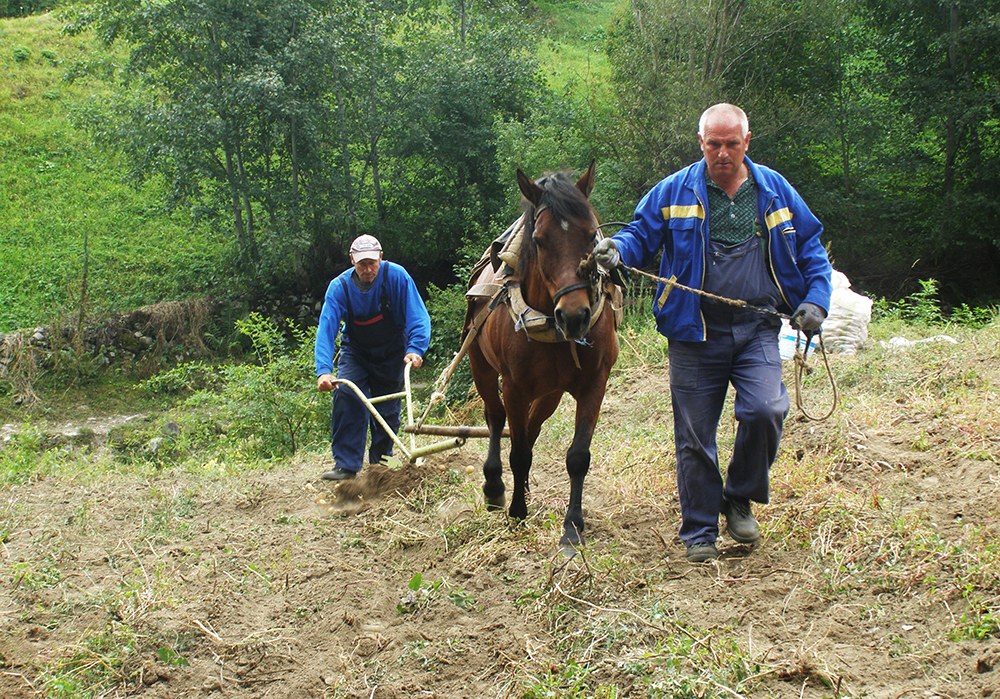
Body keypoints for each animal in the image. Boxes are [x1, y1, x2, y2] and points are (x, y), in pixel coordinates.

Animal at [466, 161, 616, 548]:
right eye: (538, 240)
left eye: (592, 235)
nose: (574, 316)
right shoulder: (514, 386)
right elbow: (517, 451)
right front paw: (517, 512)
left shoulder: (594, 383)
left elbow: (577, 456)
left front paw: (573, 526)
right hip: (481, 368)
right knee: (495, 418)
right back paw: (495, 486)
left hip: (550, 392)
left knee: (532, 427)